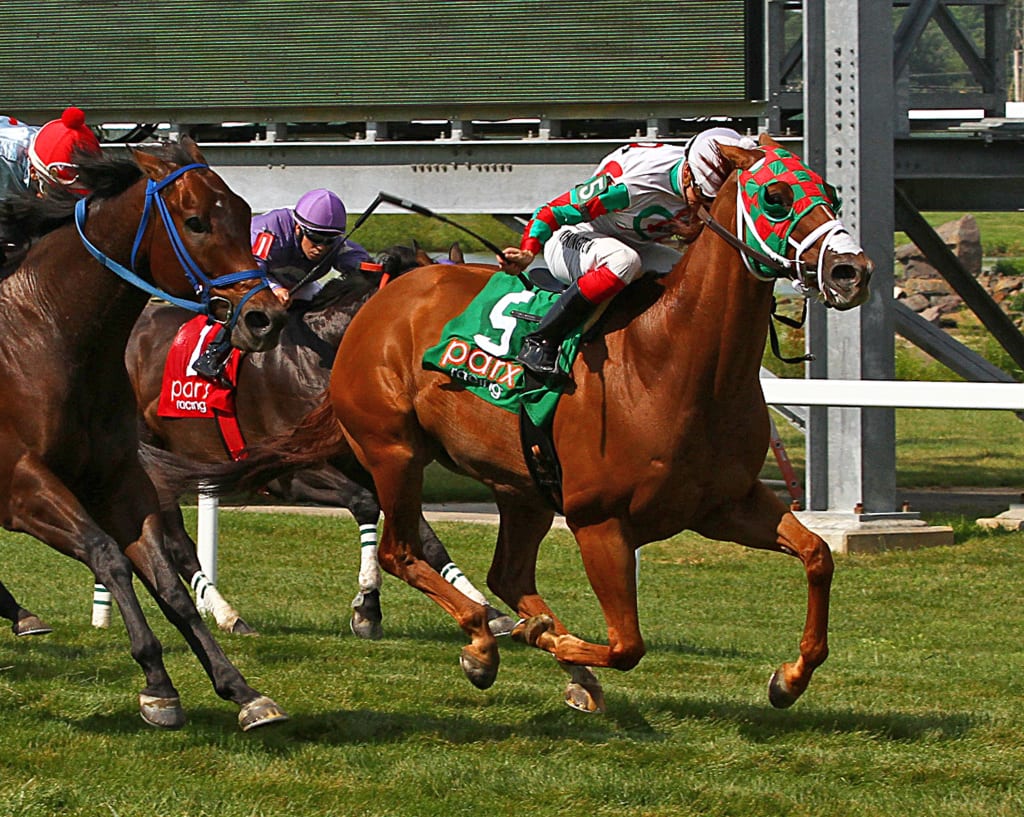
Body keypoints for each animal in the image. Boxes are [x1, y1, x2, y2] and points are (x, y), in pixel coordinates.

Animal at [0, 139, 290, 728]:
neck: (47, 334)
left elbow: (170, 585)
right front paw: (157, 681)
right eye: (196, 221)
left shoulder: (117, 482)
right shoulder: (20, 484)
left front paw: (241, 689)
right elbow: (107, 554)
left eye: (245, 212)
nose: (266, 318)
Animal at [125, 243, 512, 638]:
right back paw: (226, 614)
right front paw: (367, 606)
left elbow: (424, 535)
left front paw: (488, 609)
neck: (325, 356)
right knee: (176, 541)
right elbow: (365, 504)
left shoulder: (376, 461)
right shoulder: (288, 473)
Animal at [178, 133, 872, 708]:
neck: (673, 361)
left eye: (833, 192)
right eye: (777, 196)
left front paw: (790, 678)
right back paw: (486, 642)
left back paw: (543, 649)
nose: (852, 271)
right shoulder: (599, 521)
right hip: (395, 452)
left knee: (506, 575)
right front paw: (548, 642)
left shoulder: (723, 503)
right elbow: (628, 645)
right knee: (405, 551)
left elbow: (817, 555)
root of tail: (385, 295)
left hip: (523, 487)